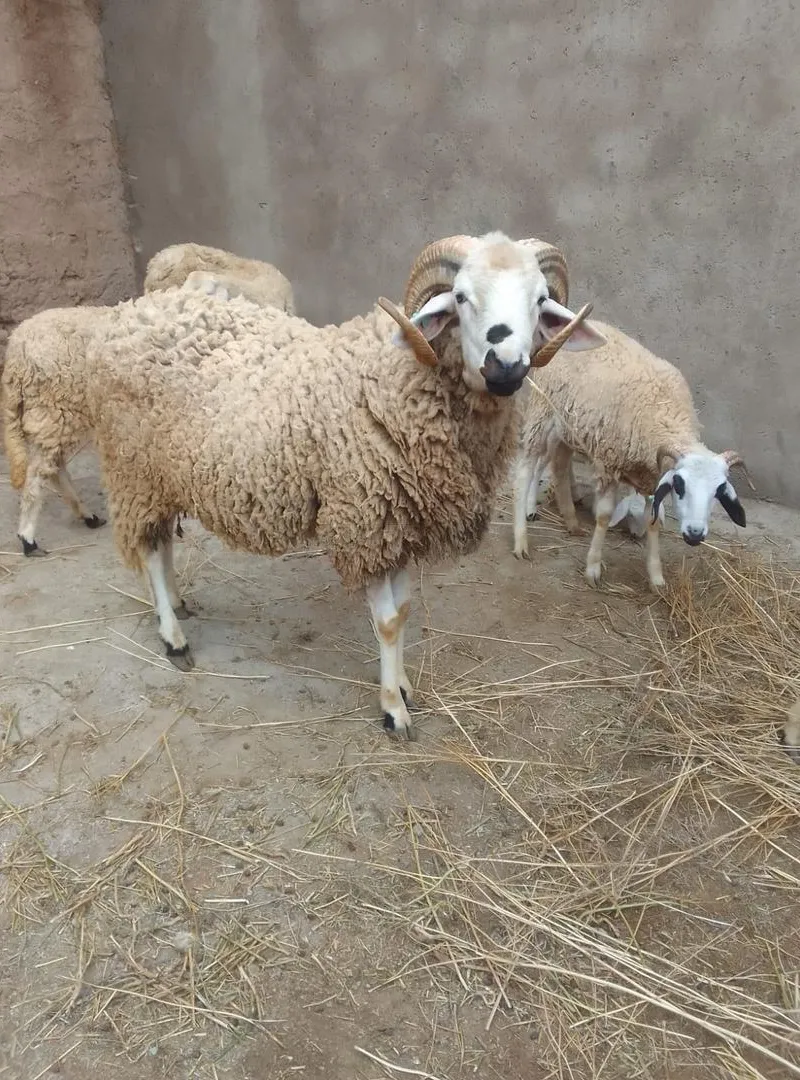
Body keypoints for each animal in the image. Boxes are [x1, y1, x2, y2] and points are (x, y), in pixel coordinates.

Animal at [1, 267, 290, 556]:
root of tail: (16, 350)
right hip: (53, 410)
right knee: (38, 474)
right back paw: (28, 538)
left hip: (55, 414)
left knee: (54, 467)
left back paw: (87, 516)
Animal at [511, 319, 747, 590]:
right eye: (680, 485)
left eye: (718, 491)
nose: (695, 535)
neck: (664, 416)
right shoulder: (609, 462)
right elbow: (604, 516)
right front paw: (593, 568)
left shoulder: (653, 477)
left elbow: (653, 523)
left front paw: (656, 577)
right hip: (542, 410)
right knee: (527, 468)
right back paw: (522, 535)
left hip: (568, 426)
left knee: (558, 465)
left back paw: (570, 519)